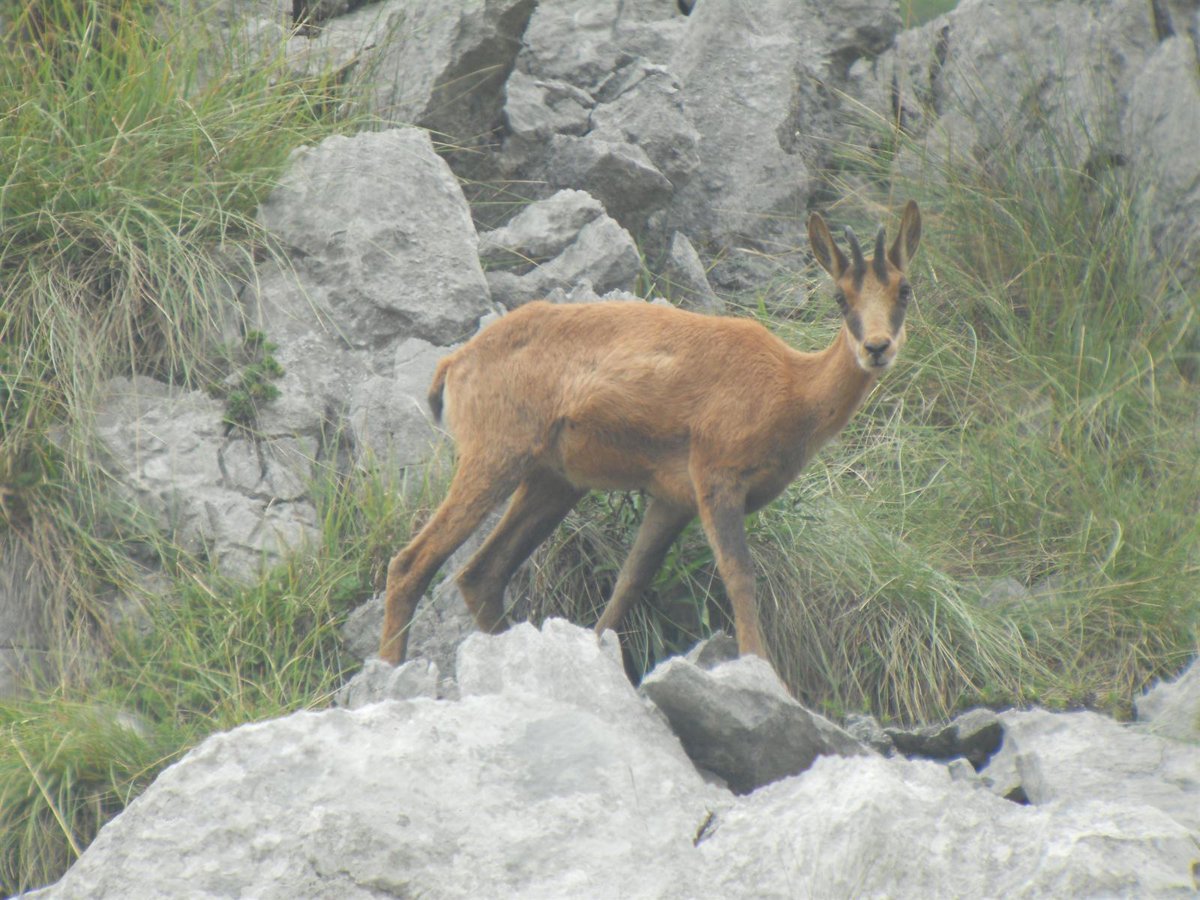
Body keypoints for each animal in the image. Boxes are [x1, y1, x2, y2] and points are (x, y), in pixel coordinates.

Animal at [379, 201, 922, 666]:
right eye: (840, 296)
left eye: (904, 289)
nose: (877, 348)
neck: (792, 388)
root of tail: (455, 364)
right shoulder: (715, 478)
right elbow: (739, 575)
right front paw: (761, 669)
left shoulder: (671, 499)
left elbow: (630, 579)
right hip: (494, 456)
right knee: (411, 563)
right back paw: (390, 669)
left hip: (553, 482)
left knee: (481, 574)